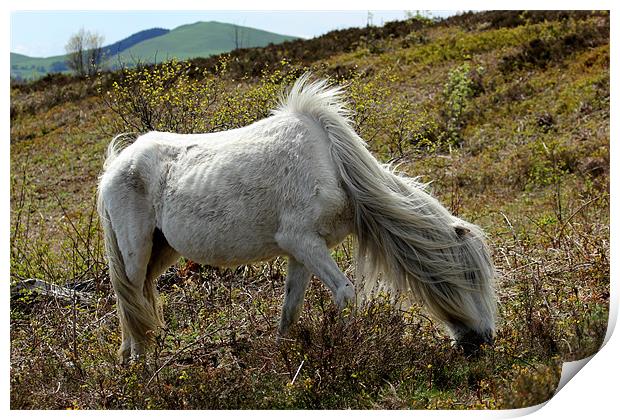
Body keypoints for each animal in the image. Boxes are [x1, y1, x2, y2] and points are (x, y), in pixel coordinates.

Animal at [97, 74, 496, 362]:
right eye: (472, 279)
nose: (487, 341)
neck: (334, 166)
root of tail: (116, 164)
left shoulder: (301, 253)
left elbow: (290, 310)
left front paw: (283, 358)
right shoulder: (302, 242)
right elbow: (346, 293)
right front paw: (349, 347)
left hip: (162, 251)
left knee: (137, 299)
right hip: (136, 252)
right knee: (129, 296)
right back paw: (141, 366)